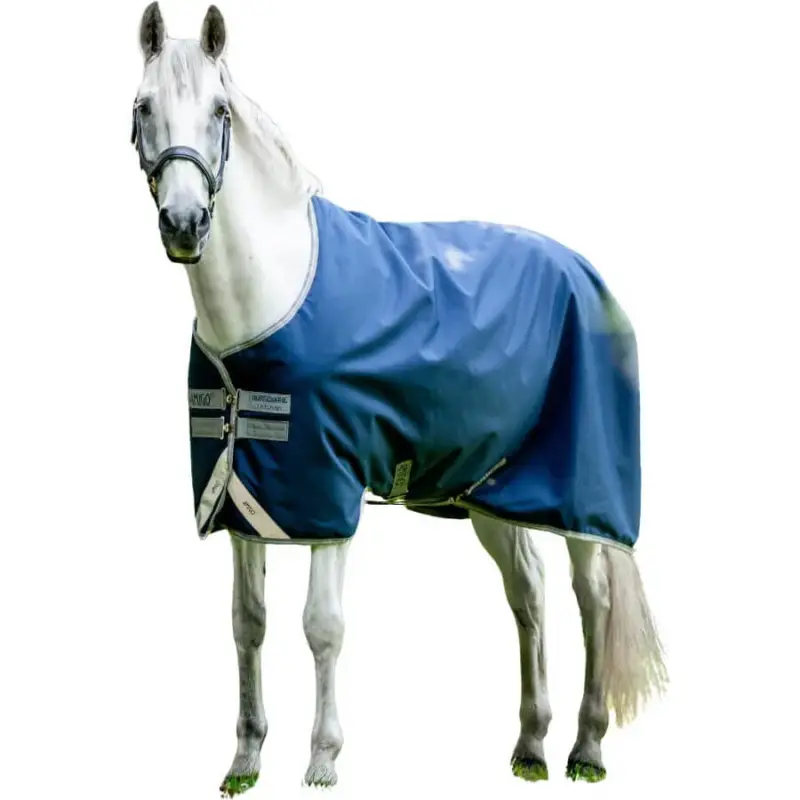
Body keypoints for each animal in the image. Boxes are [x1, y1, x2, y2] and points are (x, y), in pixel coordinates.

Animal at [130, 4, 667, 795]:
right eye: (144, 108)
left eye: (220, 110)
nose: (184, 223)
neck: (270, 293)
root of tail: (587, 274)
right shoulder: (244, 499)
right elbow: (247, 621)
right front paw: (245, 760)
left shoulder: (326, 495)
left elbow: (322, 626)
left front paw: (322, 760)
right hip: (491, 493)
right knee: (529, 593)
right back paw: (530, 747)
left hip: (578, 492)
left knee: (591, 596)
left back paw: (587, 749)